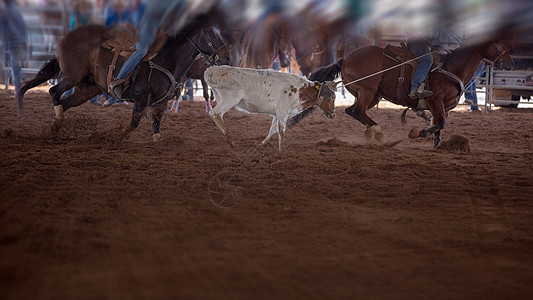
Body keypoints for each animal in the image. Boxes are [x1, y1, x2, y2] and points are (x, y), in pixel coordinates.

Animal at [16, 9, 229, 141]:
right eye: (211, 34)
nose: (227, 57)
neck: (167, 59)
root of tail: (68, 38)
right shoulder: (142, 97)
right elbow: (134, 124)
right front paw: (114, 138)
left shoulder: (161, 102)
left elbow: (156, 128)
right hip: (72, 76)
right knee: (54, 92)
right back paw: (57, 121)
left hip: (87, 89)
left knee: (65, 102)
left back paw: (56, 127)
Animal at [296, 38, 512, 146]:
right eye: (499, 44)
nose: (511, 63)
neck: (451, 68)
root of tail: (345, 59)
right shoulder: (435, 101)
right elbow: (439, 122)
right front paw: (419, 133)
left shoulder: (445, 106)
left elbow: (439, 123)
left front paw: (437, 142)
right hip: (368, 90)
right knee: (355, 111)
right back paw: (378, 131)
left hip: (374, 95)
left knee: (357, 111)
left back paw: (370, 132)